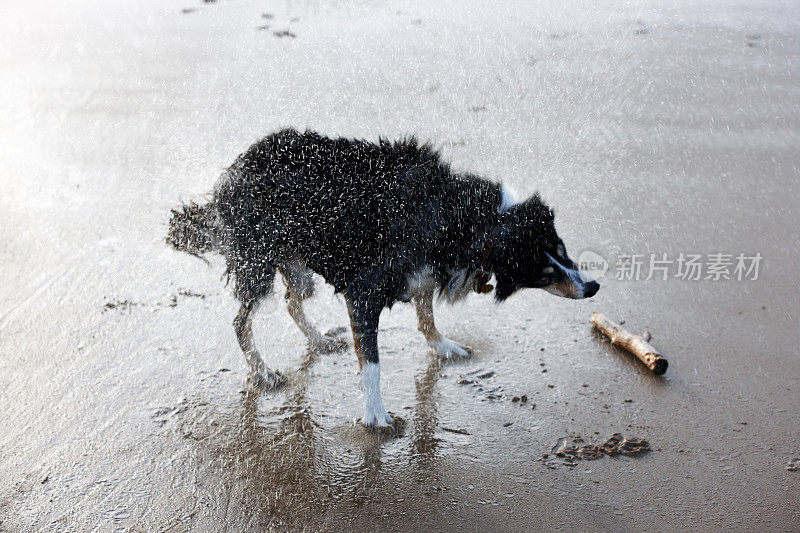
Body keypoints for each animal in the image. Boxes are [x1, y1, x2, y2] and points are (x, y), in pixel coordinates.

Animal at [166, 129, 596, 428]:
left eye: (562, 250)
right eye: (543, 270)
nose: (592, 287)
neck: (471, 222)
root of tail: (235, 170)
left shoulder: (422, 275)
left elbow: (426, 315)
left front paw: (442, 346)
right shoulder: (365, 290)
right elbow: (371, 361)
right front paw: (375, 415)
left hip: (297, 264)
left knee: (291, 301)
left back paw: (320, 341)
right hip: (259, 261)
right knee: (241, 321)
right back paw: (262, 371)